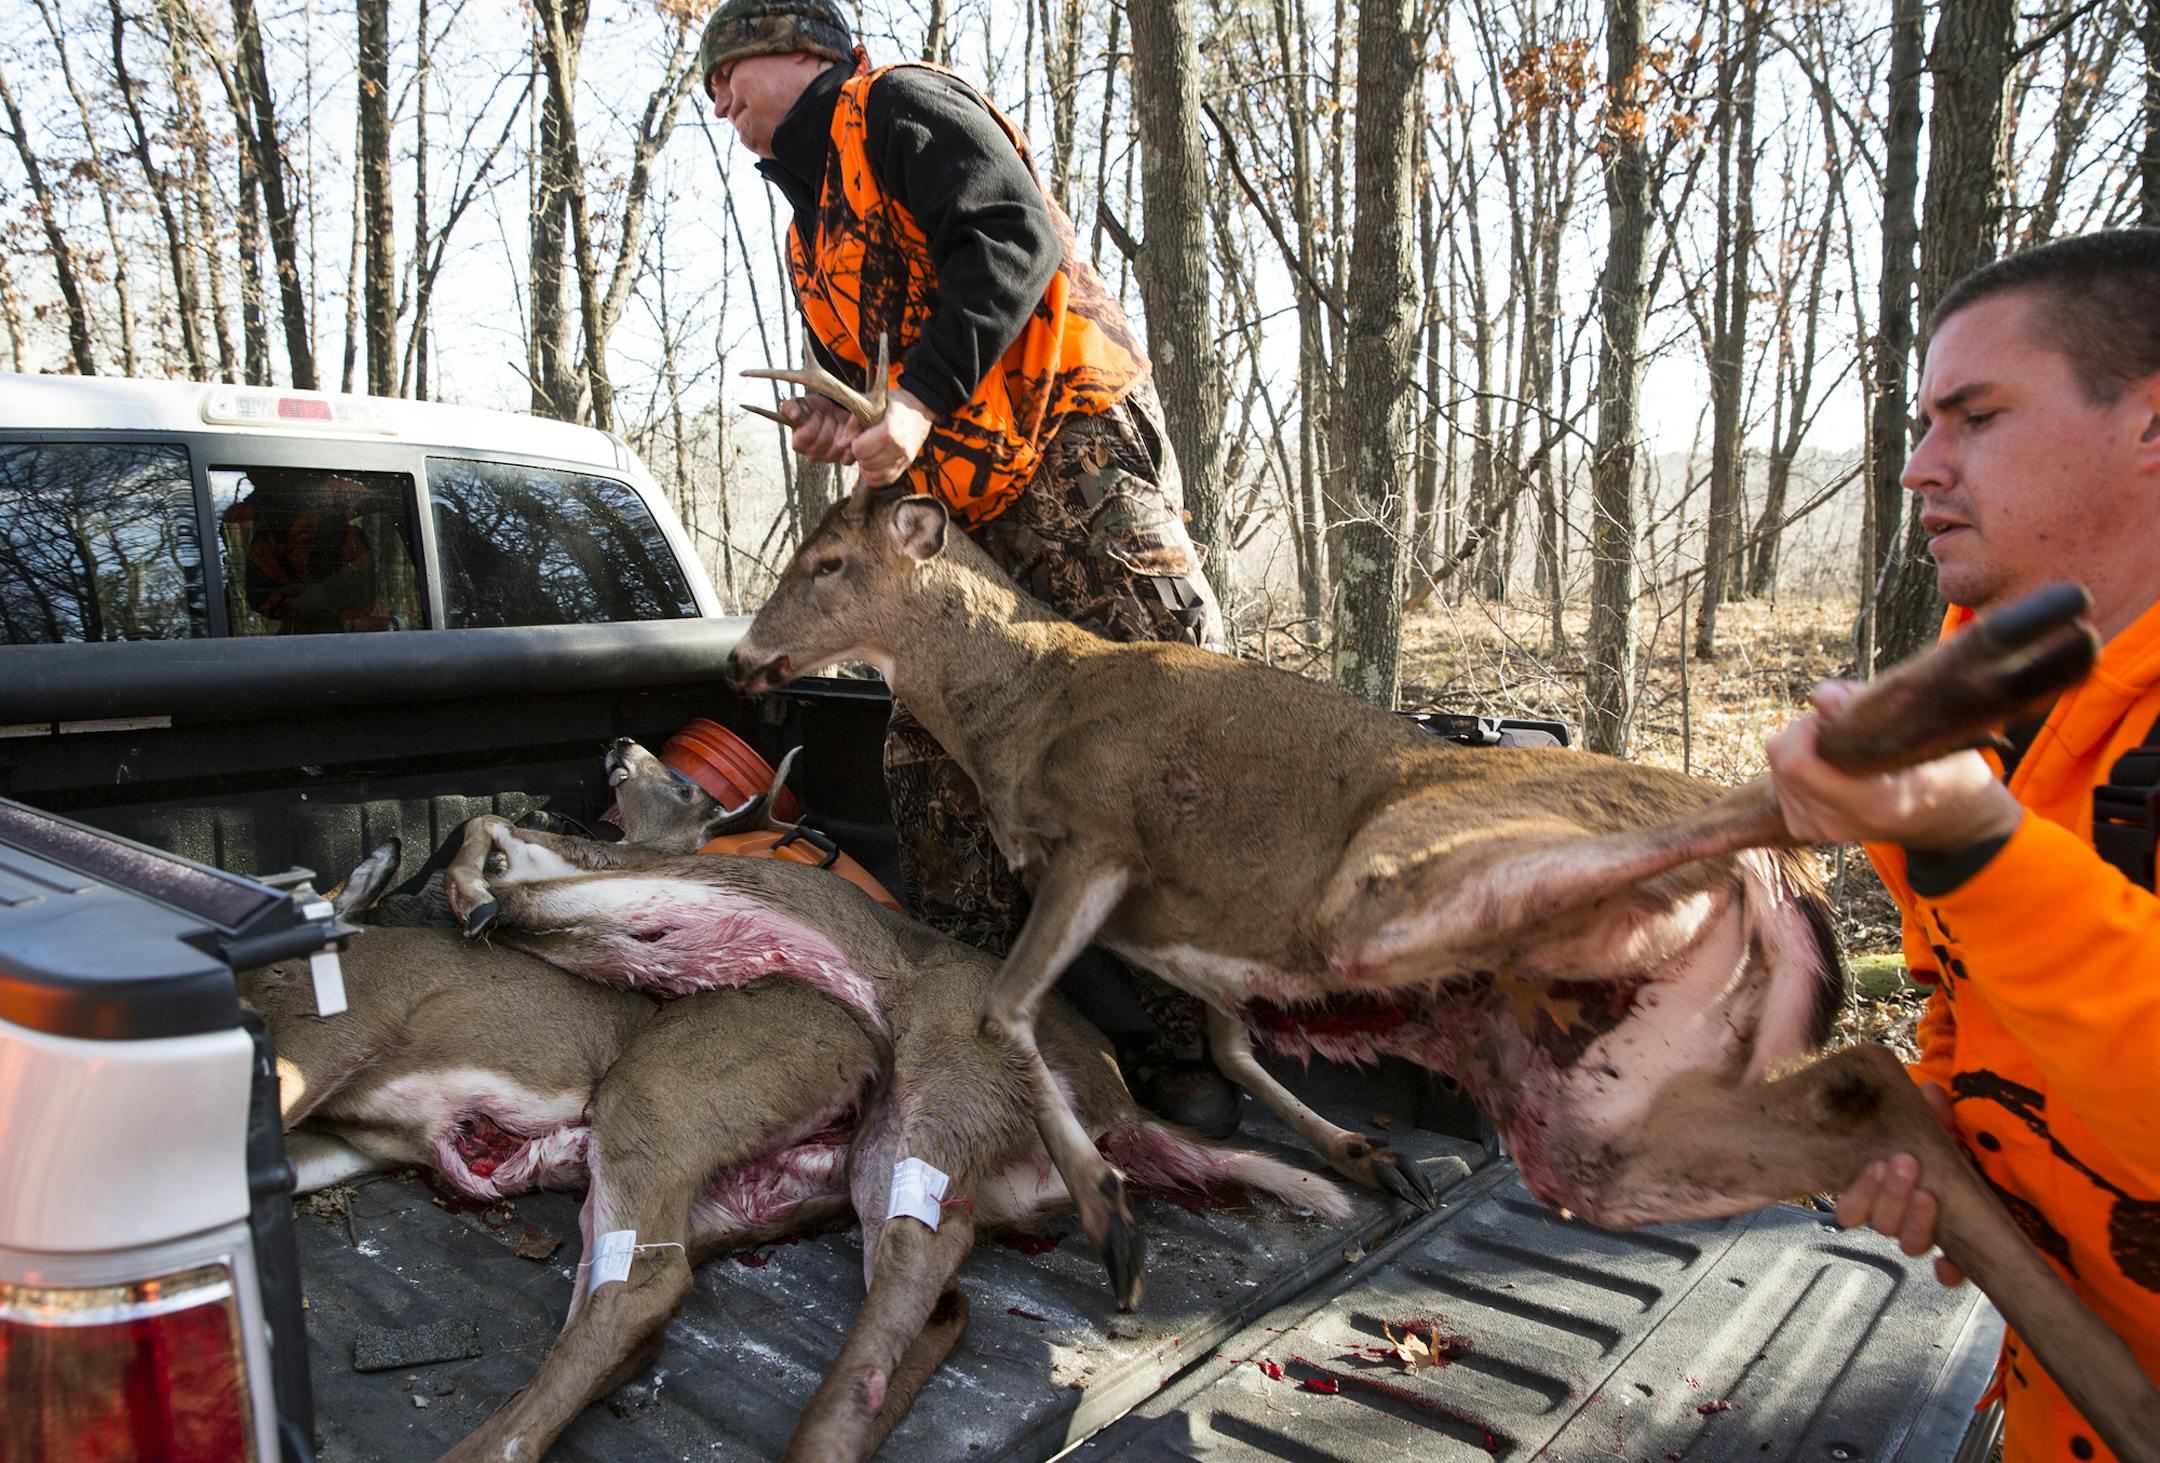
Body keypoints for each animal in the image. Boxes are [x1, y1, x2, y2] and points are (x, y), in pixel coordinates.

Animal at [375, 740, 1352, 1461]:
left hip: (925, 1082)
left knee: (734, 1277)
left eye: (683, 779)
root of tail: (1118, 1101)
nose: (617, 745)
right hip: (882, 1148)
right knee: (941, 1288)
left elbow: (508, 855)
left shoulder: (649, 879)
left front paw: (470, 891)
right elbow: (502, 846)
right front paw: (459, 884)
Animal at [714, 470, 2160, 1462]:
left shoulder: (1105, 843)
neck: (1021, 710)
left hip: (1396, 869)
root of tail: (1788, 899)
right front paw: (1362, 1156)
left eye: (828, 557)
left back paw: (1941, 704)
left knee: (1746, 818)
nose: (741, 654)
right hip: (1604, 1106)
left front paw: (1119, 1220)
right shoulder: (1190, 929)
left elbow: (1022, 1004)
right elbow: (1222, 1041)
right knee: (1875, 1077)